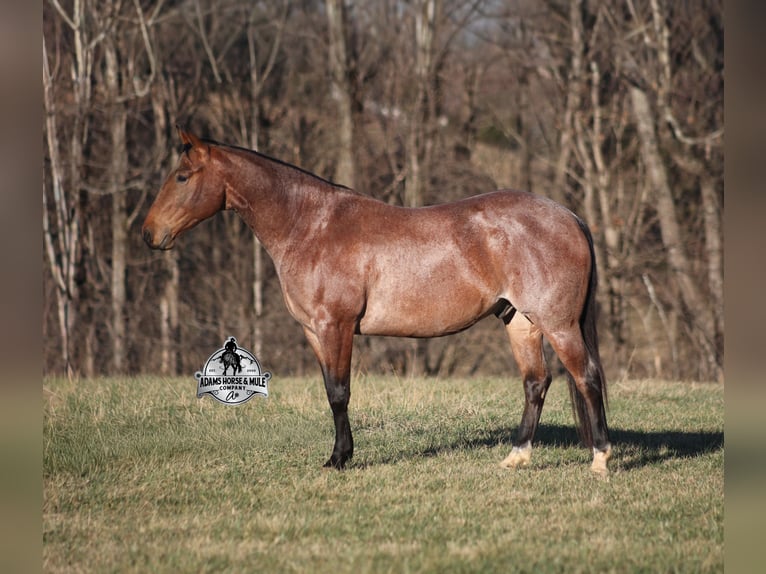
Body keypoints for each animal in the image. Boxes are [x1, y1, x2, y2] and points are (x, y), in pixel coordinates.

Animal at [143, 128, 612, 475]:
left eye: (181, 177)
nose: (149, 234)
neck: (310, 225)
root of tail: (570, 216)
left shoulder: (335, 326)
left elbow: (339, 392)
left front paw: (339, 459)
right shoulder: (314, 332)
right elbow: (330, 391)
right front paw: (339, 454)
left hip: (558, 324)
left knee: (586, 377)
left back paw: (600, 459)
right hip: (521, 322)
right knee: (536, 382)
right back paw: (516, 457)